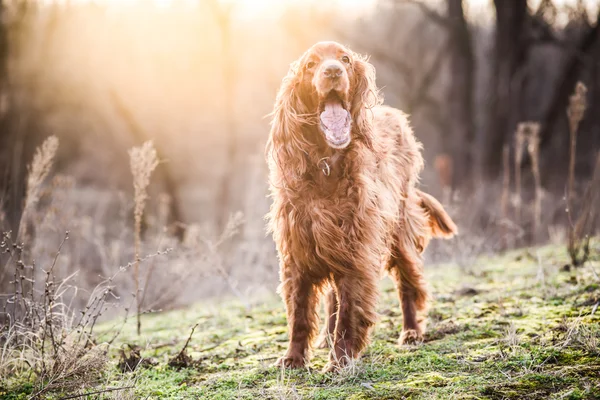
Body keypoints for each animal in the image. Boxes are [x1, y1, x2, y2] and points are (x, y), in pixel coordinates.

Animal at [264, 41, 458, 372]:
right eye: (311, 64)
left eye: (345, 58)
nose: (332, 71)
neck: (326, 166)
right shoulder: (298, 251)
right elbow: (299, 313)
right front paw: (294, 358)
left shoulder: (355, 250)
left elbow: (348, 312)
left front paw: (339, 362)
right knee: (332, 298)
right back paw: (326, 338)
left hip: (399, 231)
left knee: (408, 285)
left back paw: (411, 333)